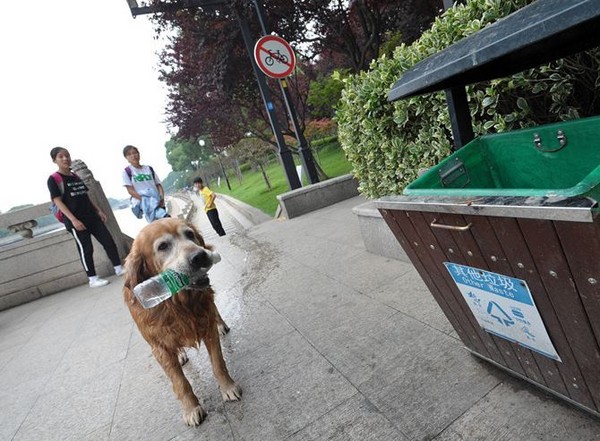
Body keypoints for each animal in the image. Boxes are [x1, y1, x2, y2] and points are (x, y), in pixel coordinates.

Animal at [124, 218, 241, 424]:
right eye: (163, 246)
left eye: (189, 234)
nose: (200, 256)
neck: (176, 303)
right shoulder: (159, 348)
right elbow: (180, 382)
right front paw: (191, 408)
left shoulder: (207, 326)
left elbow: (218, 363)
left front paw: (228, 387)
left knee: (215, 310)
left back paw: (221, 325)